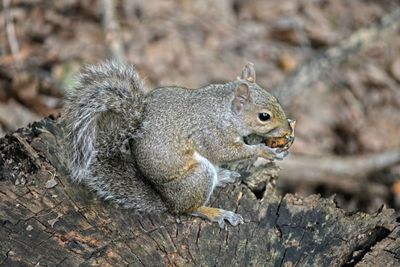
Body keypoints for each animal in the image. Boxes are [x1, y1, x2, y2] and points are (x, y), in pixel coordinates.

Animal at [64, 60, 292, 228]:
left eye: (276, 100)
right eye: (264, 116)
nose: (287, 130)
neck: (224, 111)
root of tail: (166, 200)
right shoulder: (211, 134)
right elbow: (227, 152)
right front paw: (266, 150)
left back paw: (223, 177)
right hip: (197, 177)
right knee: (188, 209)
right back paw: (216, 213)